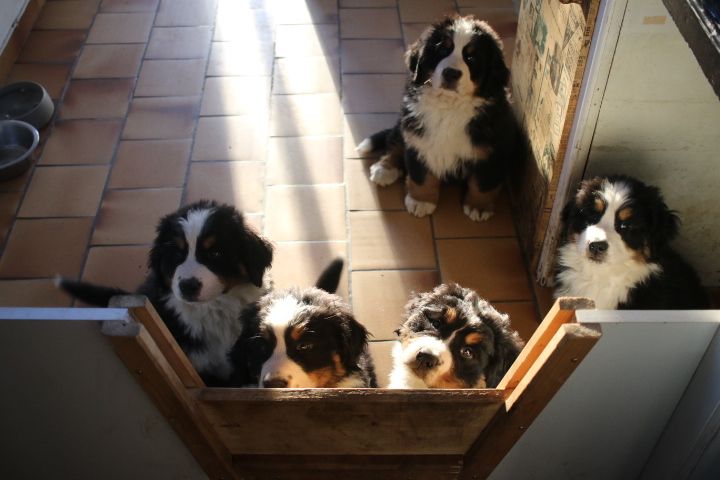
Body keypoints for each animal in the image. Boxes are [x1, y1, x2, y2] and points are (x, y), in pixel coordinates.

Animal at [358, 15, 524, 222]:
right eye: (442, 50)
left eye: (471, 58)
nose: (451, 73)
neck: (449, 106)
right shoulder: (418, 138)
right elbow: (421, 176)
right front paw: (421, 201)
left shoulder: (493, 151)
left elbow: (483, 184)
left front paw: (478, 207)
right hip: (405, 122)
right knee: (395, 142)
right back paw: (385, 168)